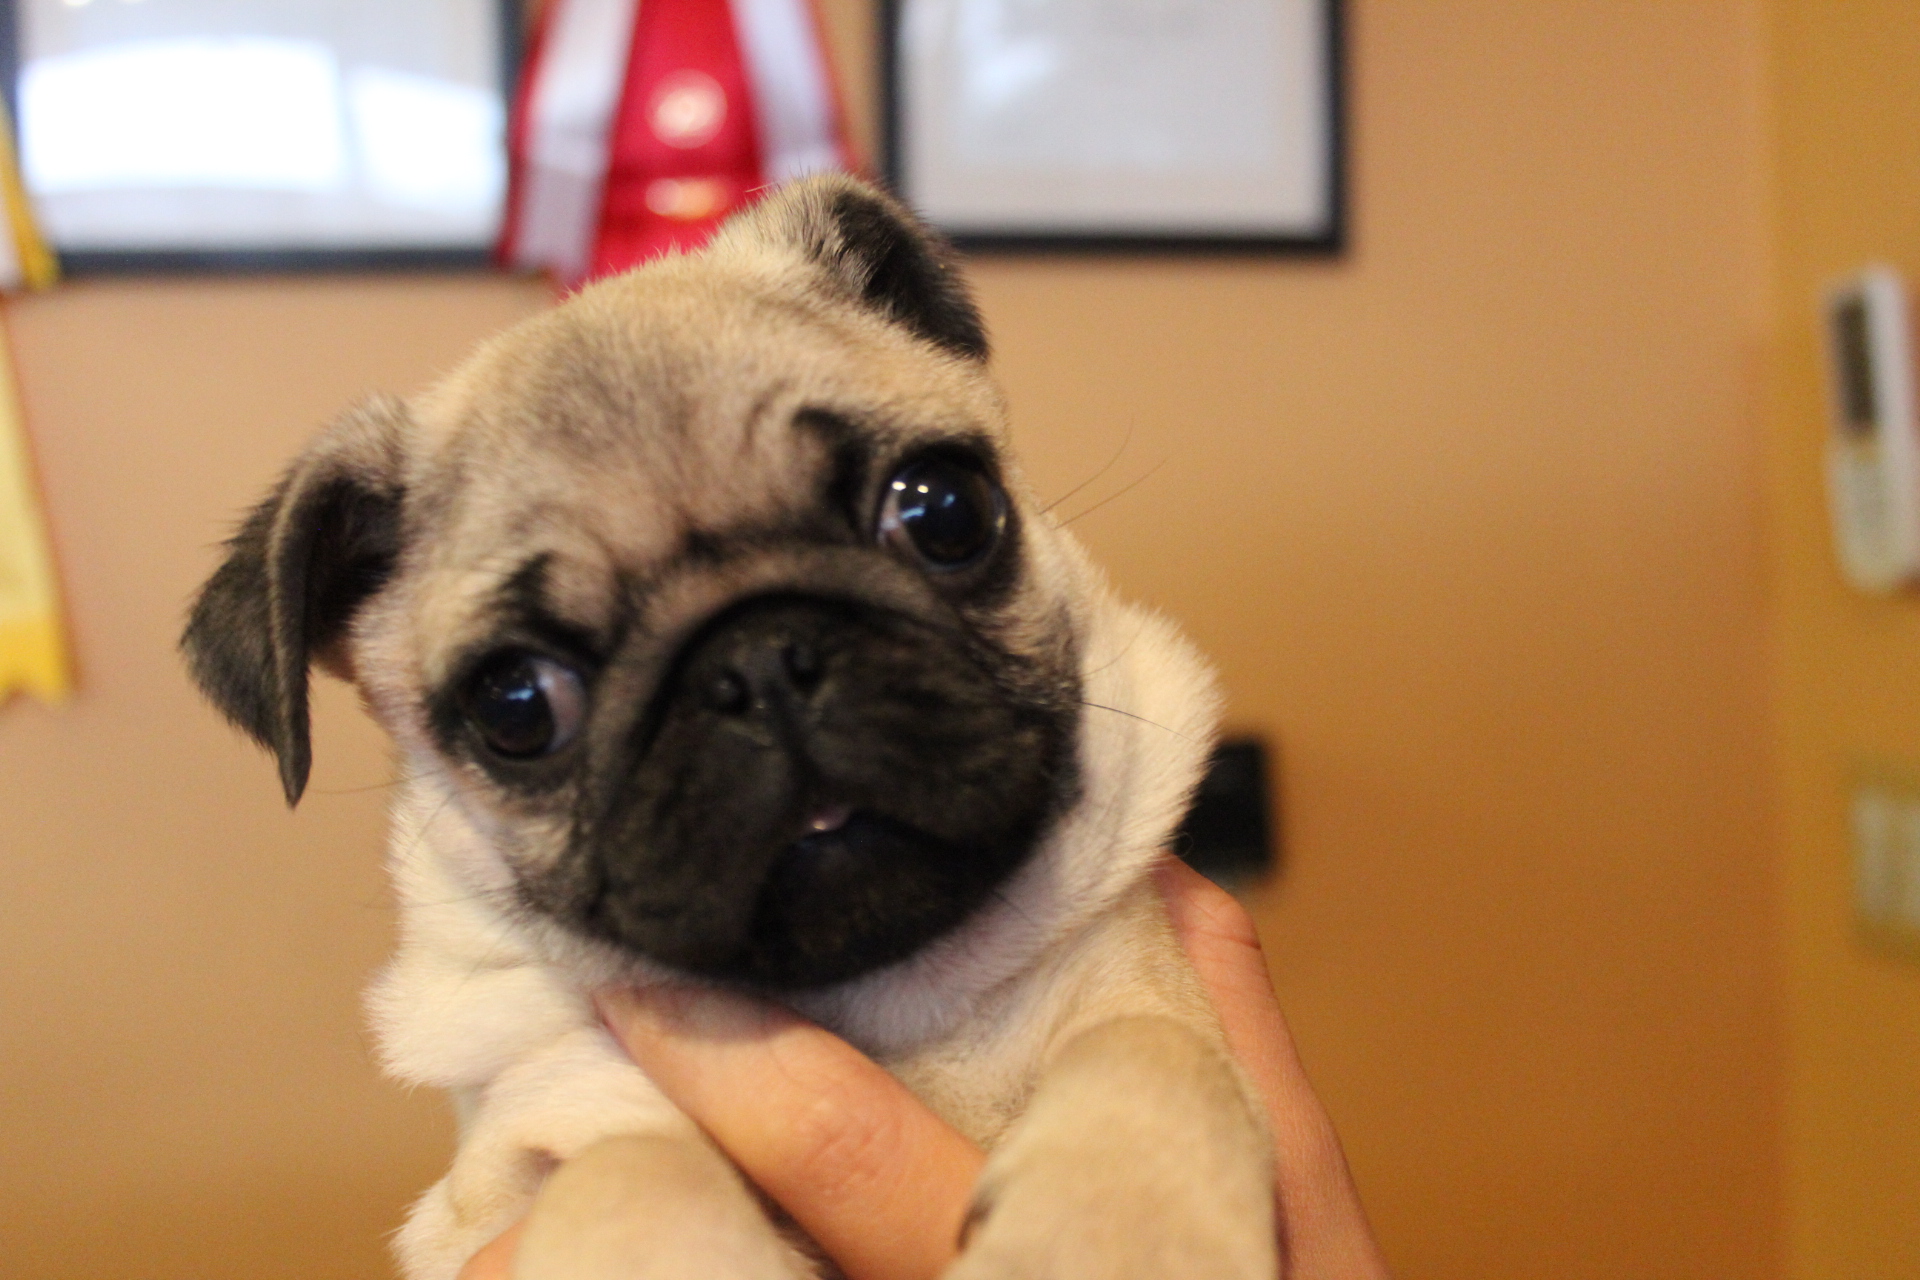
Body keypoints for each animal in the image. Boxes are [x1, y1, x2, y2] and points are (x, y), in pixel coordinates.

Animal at [181, 174, 1276, 1280]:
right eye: (515, 704)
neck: (881, 1011)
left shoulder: (1133, 988)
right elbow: (631, 1169)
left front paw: (1111, 1232)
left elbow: (1149, 1055)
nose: (754, 662)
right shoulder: (537, 1139)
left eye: (944, 510)